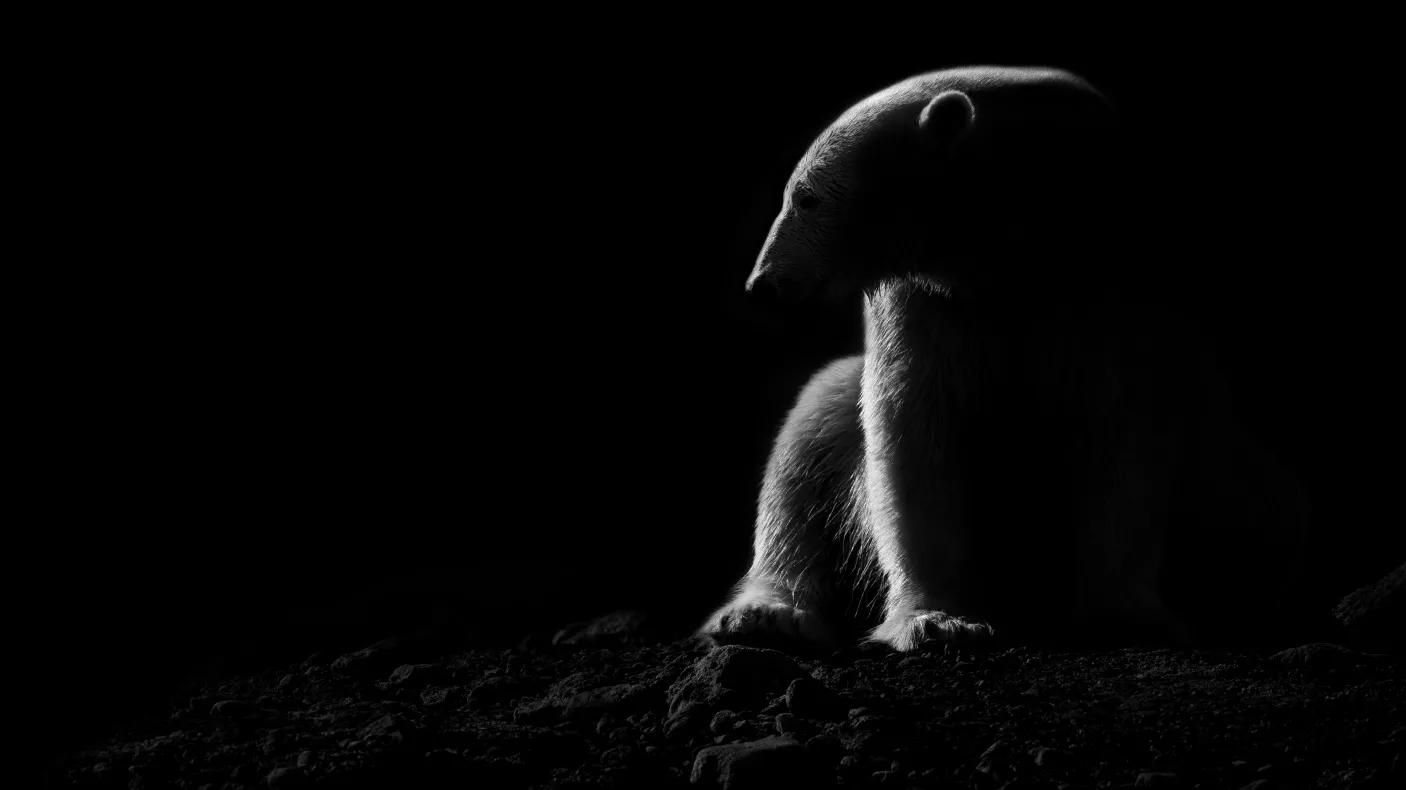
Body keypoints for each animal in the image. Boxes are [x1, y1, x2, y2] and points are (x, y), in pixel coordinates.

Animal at [699, 66, 1312, 653]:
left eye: (807, 198)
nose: (762, 283)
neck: (1020, 257)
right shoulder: (925, 303)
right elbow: (913, 436)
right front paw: (938, 621)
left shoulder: (1123, 294)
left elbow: (1125, 438)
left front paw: (1128, 615)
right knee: (812, 431)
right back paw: (766, 615)